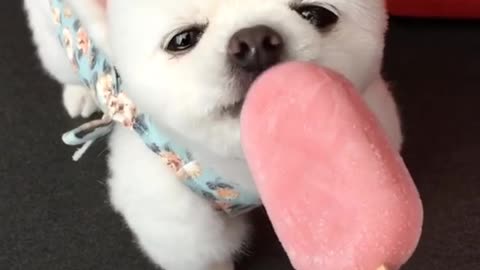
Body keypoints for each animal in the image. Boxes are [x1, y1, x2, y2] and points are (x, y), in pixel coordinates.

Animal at [24, 1, 404, 268]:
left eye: (315, 14)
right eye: (182, 40)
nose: (254, 41)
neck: (244, 166)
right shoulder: (173, 220)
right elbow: (203, 253)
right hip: (53, 38)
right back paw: (79, 94)